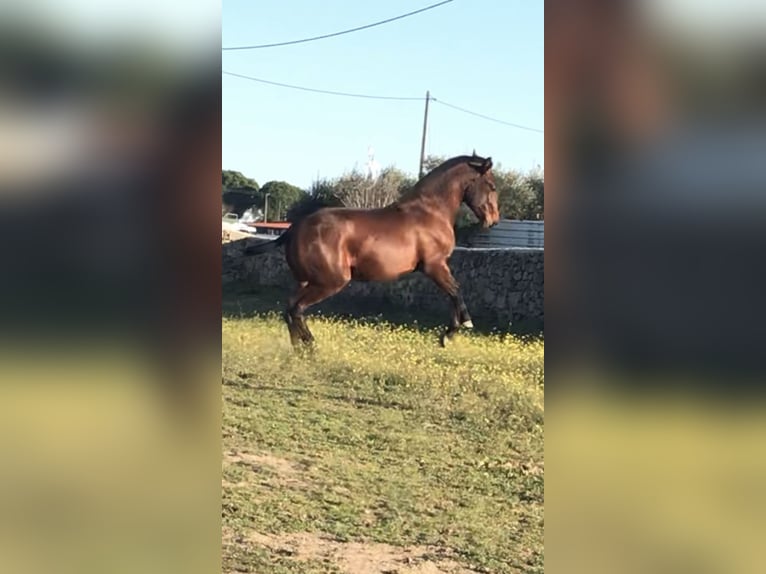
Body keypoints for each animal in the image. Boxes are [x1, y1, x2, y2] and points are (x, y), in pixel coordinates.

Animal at [243, 153, 500, 348]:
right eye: (492, 186)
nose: (493, 220)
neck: (430, 211)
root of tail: (293, 229)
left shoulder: (436, 267)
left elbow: (453, 293)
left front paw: (449, 334)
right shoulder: (434, 265)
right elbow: (455, 291)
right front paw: (456, 330)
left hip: (305, 282)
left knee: (289, 310)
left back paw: (300, 350)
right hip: (330, 282)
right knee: (297, 309)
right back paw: (312, 347)